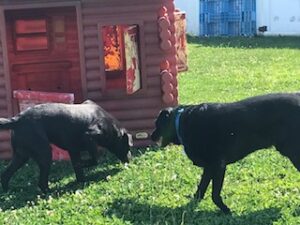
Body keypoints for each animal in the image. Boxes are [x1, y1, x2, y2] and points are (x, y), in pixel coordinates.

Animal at [0, 101, 131, 192]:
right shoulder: (89, 136)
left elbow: (79, 169)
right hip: (44, 153)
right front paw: (83, 165)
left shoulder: (74, 150)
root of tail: (17, 119)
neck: (111, 127)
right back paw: (50, 191)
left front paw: (81, 180)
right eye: (128, 147)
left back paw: (7, 191)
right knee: (41, 182)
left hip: (21, 155)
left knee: (6, 174)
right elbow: (95, 159)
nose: (130, 160)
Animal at [152, 92, 300, 213]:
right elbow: (201, 189)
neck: (181, 121)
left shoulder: (218, 166)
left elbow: (214, 194)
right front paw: (191, 206)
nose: (151, 136)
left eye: (157, 124)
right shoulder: (209, 167)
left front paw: (225, 210)